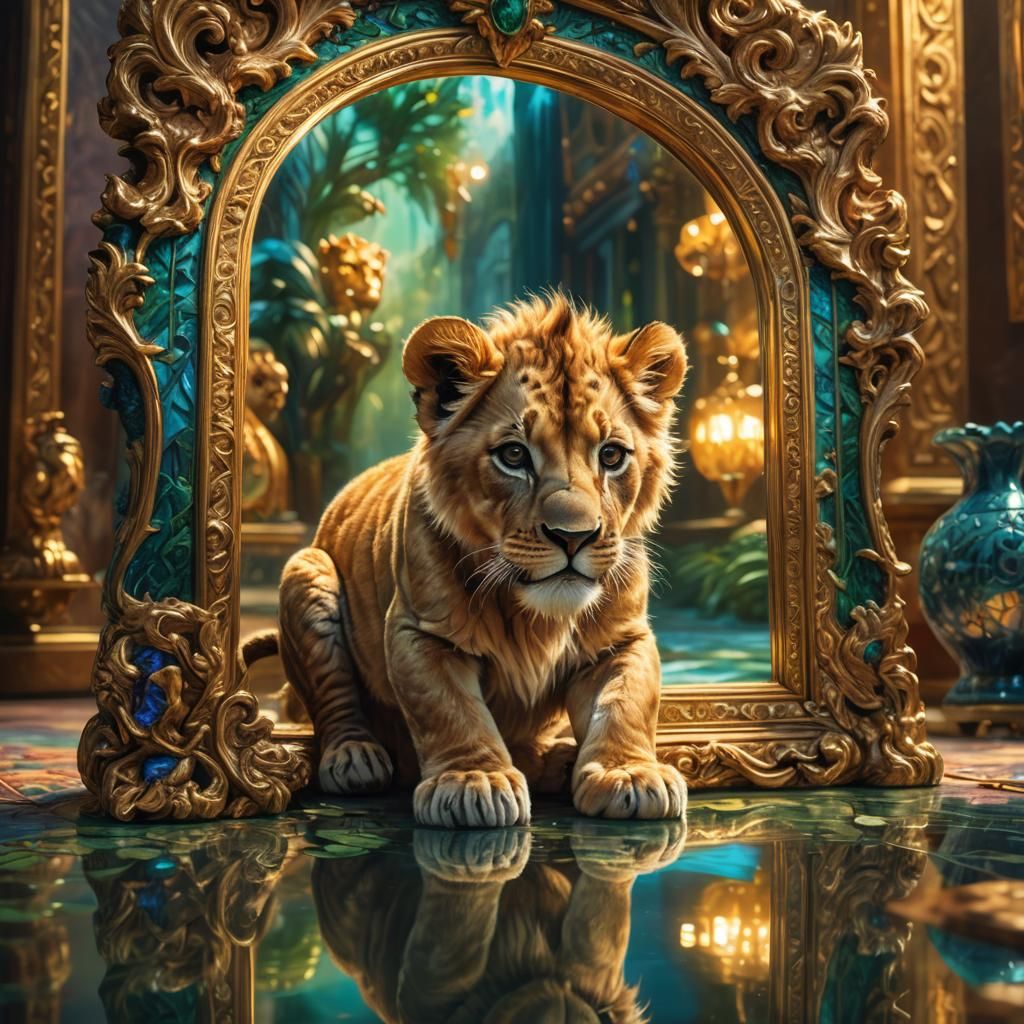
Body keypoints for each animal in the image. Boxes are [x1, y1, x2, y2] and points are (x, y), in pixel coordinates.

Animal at [252, 292, 688, 827]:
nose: (574, 537)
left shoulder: (623, 639)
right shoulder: (421, 632)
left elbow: (626, 701)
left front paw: (629, 773)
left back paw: (557, 761)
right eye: (514, 456)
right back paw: (356, 757)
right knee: (335, 701)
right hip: (305, 572)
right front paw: (473, 779)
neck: (533, 617)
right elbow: (451, 708)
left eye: (611, 456)